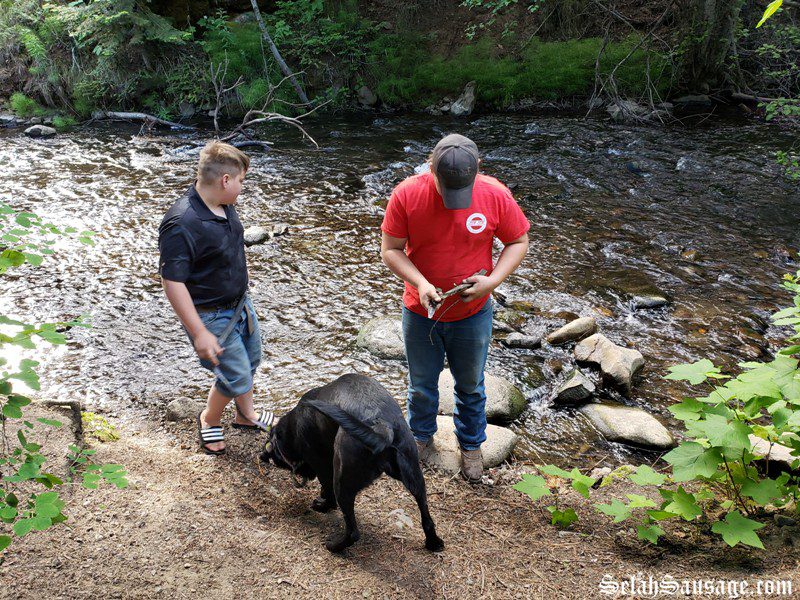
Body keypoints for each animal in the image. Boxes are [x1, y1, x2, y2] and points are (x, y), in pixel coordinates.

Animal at [262, 376, 446, 552]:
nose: (263, 456)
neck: (293, 427)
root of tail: (383, 426)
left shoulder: (322, 466)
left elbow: (327, 491)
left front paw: (323, 506)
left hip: (342, 481)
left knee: (353, 532)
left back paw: (334, 546)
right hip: (415, 477)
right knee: (427, 518)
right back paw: (433, 543)